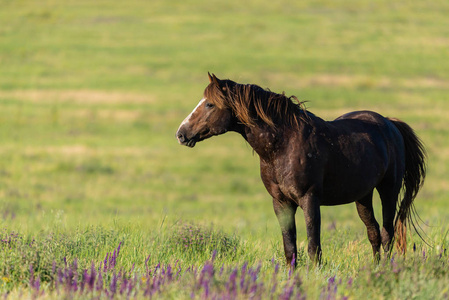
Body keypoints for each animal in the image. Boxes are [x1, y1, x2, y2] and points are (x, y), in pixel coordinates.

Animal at [174, 73, 424, 268]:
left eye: (209, 104)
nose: (181, 134)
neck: (283, 145)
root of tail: (390, 123)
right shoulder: (281, 203)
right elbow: (290, 247)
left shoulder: (309, 200)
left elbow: (314, 247)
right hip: (363, 196)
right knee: (373, 233)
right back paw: (375, 268)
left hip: (388, 191)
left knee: (387, 234)